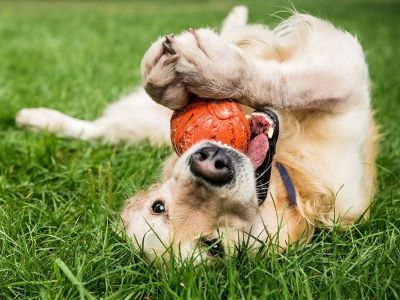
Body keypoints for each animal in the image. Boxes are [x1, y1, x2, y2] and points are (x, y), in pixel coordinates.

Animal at [16, 5, 378, 262]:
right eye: (159, 206)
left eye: (214, 244)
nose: (210, 163)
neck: (290, 176)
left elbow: (285, 82)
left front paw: (207, 71)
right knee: (99, 130)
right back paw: (37, 119)